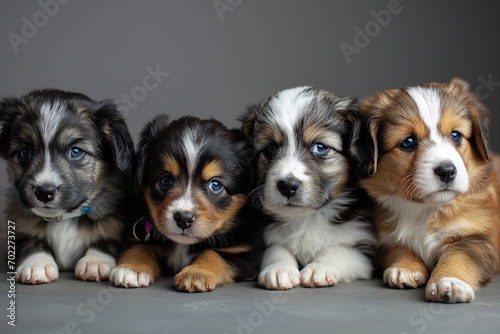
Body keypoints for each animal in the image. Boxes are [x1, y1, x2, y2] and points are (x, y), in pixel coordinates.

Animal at [0, 88, 135, 284]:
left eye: (75, 151)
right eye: (24, 152)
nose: (44, 192)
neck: (63, 218)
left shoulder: (115, 222)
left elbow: (107, 239)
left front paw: (95, 261)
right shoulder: (19, 227)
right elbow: (30, 242)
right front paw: (36, 264)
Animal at [110, 115, 266, 292]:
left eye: (215, 184)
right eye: (165, 180)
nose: (183, 219)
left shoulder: (248, 253)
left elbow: (214, 254)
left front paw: (196, 273)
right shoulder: (134, 236)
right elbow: (140, 247)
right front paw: (131, 268)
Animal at [241, 86, 376, 290]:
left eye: (320, 147)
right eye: (270, 148)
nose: (287, 186)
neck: (308, 218)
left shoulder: (365, 251)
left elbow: (337, 249)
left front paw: (319, 268)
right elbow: (276, 249)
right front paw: (279, 269)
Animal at [360, 78, 500, 302]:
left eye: (456, 135)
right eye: (408, 142)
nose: (447, 171)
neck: (425, 210)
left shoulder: (477, 237)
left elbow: (458, 257)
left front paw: (450, 281)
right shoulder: (384, 238)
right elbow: (399, 247)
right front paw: (405, 268)